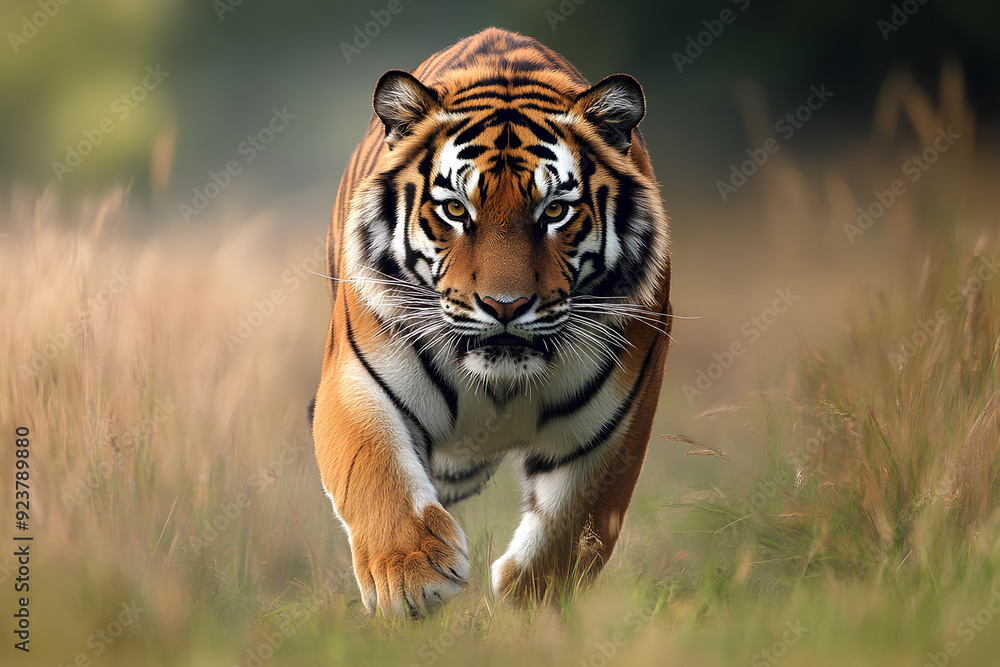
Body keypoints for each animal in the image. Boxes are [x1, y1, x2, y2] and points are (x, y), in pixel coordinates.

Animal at [312, 27, 672, 619]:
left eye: (555, 211)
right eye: (456, 209)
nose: (505, 305)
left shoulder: (613, 422)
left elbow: (576, 520)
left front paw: (532, 601)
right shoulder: (358, 380)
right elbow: (375, 471)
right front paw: (413, 577)